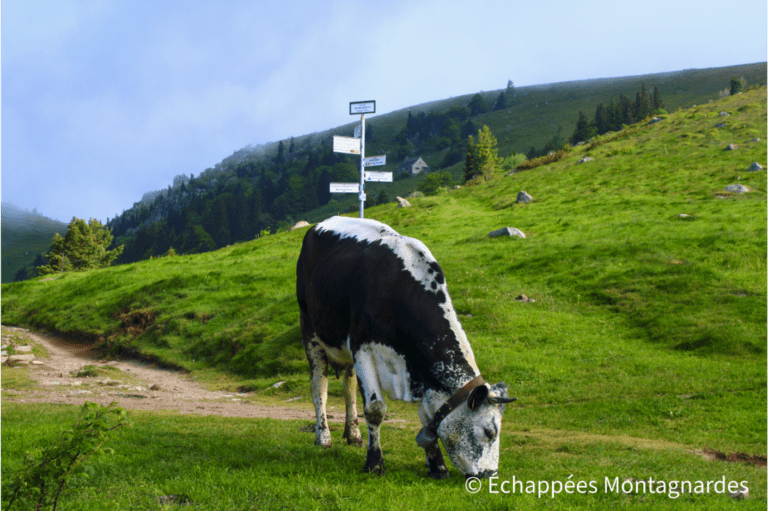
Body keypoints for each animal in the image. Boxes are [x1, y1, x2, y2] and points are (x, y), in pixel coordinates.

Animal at [296, 216, 516, 479]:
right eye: (490, 432)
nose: (490, 474)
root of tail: (322, 223)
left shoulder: (418, 368)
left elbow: (427, 417)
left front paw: (437, 466)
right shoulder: (362, 349)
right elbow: (375, 409)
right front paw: (374, 463)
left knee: (349, 390)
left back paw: (353, 434)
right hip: (310, 331)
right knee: (319, 387)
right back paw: (323, 437)